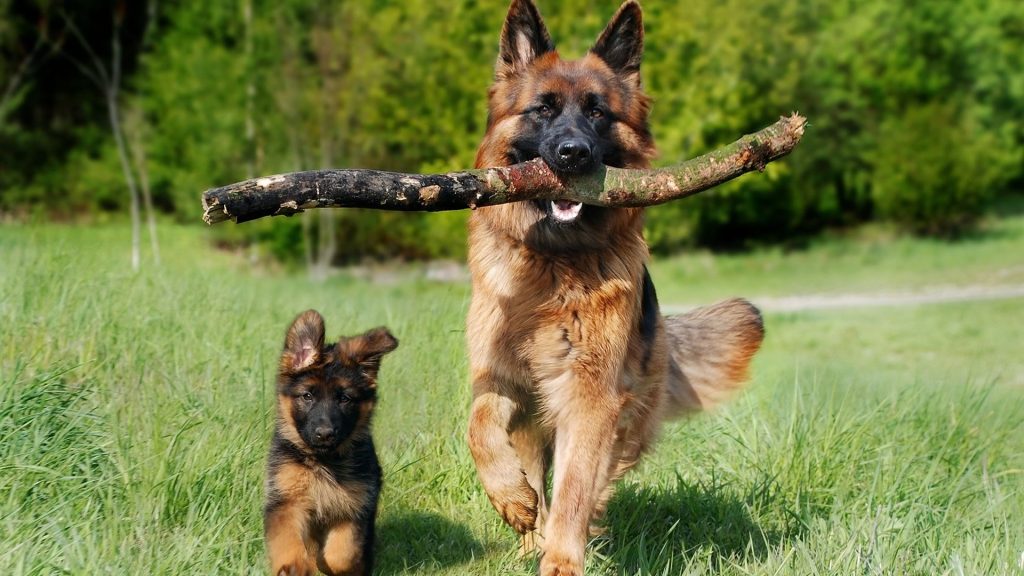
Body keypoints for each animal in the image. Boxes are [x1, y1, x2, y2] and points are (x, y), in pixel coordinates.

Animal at [266, 309, 397, 573]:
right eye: (307, 396)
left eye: (345, 399)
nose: (325, 433)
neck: (323, 461)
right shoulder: (286, 501)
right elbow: (288, 539)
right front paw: (296, 565)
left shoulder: (355, 508)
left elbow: (341, 554)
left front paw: (324, 564)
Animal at [468, 2, 765, 569]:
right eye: (543, 110)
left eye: (598, 113)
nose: (572, 154)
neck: (554, 263)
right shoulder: (500, 376)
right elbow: (479, 428)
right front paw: (511, 498)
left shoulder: (590, 395)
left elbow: (574, 488)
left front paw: (562, 561)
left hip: (624, 414)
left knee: (593, 479)